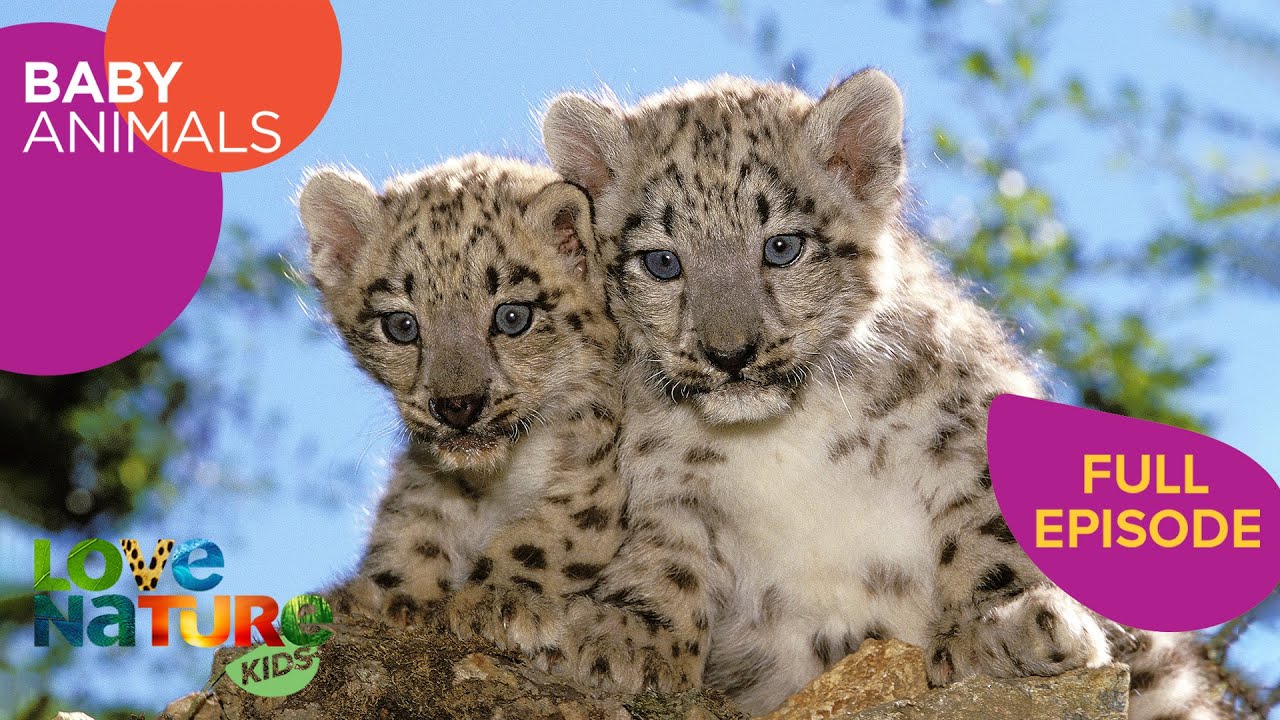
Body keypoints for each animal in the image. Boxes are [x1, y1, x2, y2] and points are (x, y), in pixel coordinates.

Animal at [297, 154, 627, 658]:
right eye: (401, 325)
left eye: (512, 317)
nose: (457, 406)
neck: (498, 480)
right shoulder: (426, 469)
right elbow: (413, 519)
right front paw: (387, 594)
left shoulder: (599, 469)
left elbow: (552, 531)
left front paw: (497, 601)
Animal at [539, 70, 1223, 718]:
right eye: (662, 262)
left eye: (782, 247)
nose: (729, 354)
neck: (779, 433)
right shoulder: (664, 479)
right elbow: (663, 552)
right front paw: (624, 633)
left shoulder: (964, 425)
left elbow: (990, 525)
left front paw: (1000, 627)